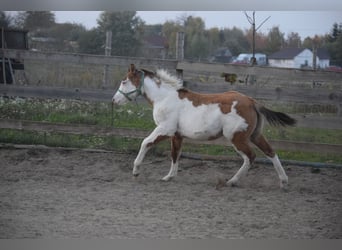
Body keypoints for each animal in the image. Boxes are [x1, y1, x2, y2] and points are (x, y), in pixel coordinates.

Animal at [111, 64, 296, 188]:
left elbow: (145, 143)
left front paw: (136, 171)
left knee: (250, 156)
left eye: (124, 81)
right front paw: (169, 176)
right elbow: (175, 154)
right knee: (270, 152)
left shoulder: (165, 129)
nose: (114, 100)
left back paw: (231, 181)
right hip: (254, 135)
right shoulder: (177, 135)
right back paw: (283, 181)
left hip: (236, 137)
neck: (163, 98)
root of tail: (251, 101)